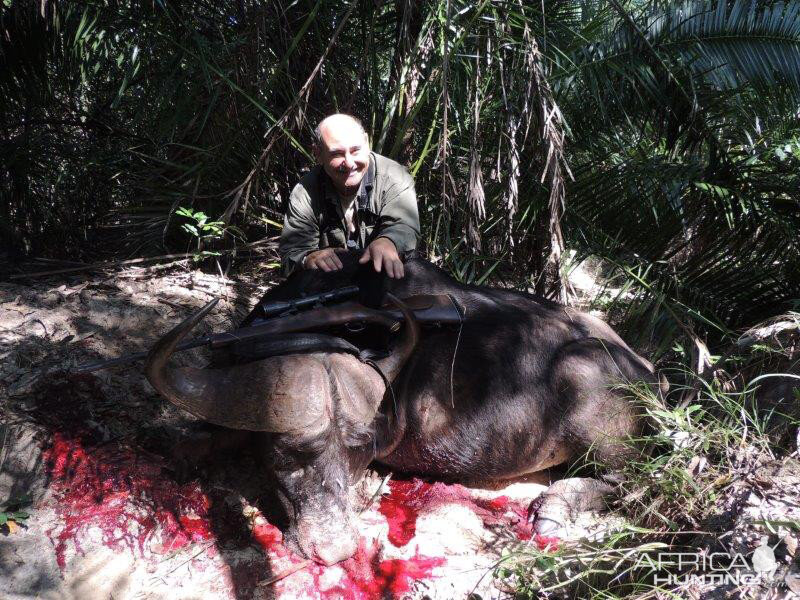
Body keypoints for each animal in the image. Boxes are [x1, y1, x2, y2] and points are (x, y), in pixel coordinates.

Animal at [144, 253, 664, 564]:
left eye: (357, 453)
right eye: (289, 455)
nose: (335, 550)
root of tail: (648, 373)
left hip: (587, 389)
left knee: (628, 482)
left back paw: (554, 508)